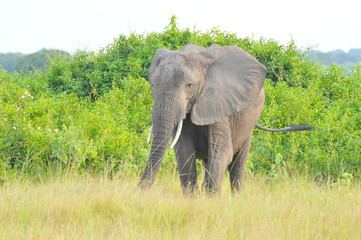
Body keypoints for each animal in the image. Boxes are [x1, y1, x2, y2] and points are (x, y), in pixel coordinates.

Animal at [136, 44, 310, 194]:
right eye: (152, 85)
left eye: (188, 86)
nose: (138, 192)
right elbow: (184, 153)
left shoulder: (219, 103)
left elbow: (223, 152)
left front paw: (211, 199)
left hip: (248, 125)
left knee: (237, 164)